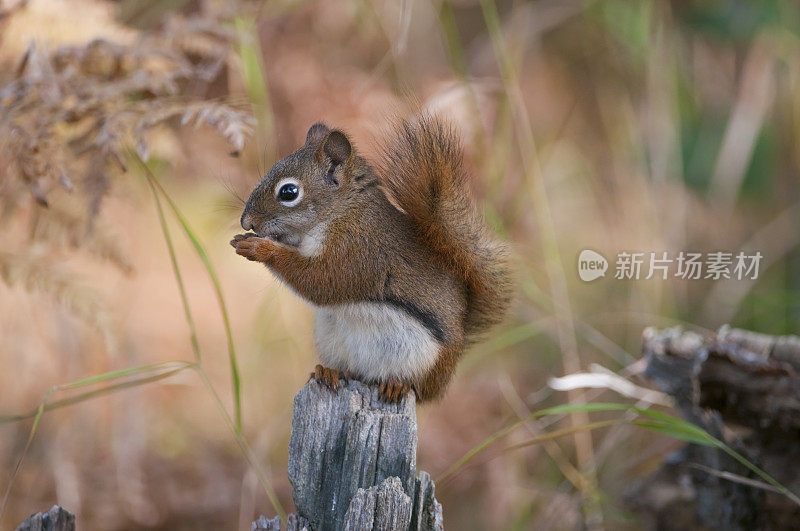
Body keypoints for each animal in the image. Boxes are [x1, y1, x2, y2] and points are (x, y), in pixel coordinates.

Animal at [230, 114, 512, 402]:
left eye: (288, 192)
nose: (246, 222)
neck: (342, 211)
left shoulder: (358, 251)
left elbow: (320, 281)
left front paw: (260, 248)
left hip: (417, 355)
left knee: (414, 385)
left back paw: (397, 384)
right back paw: (331, 372)